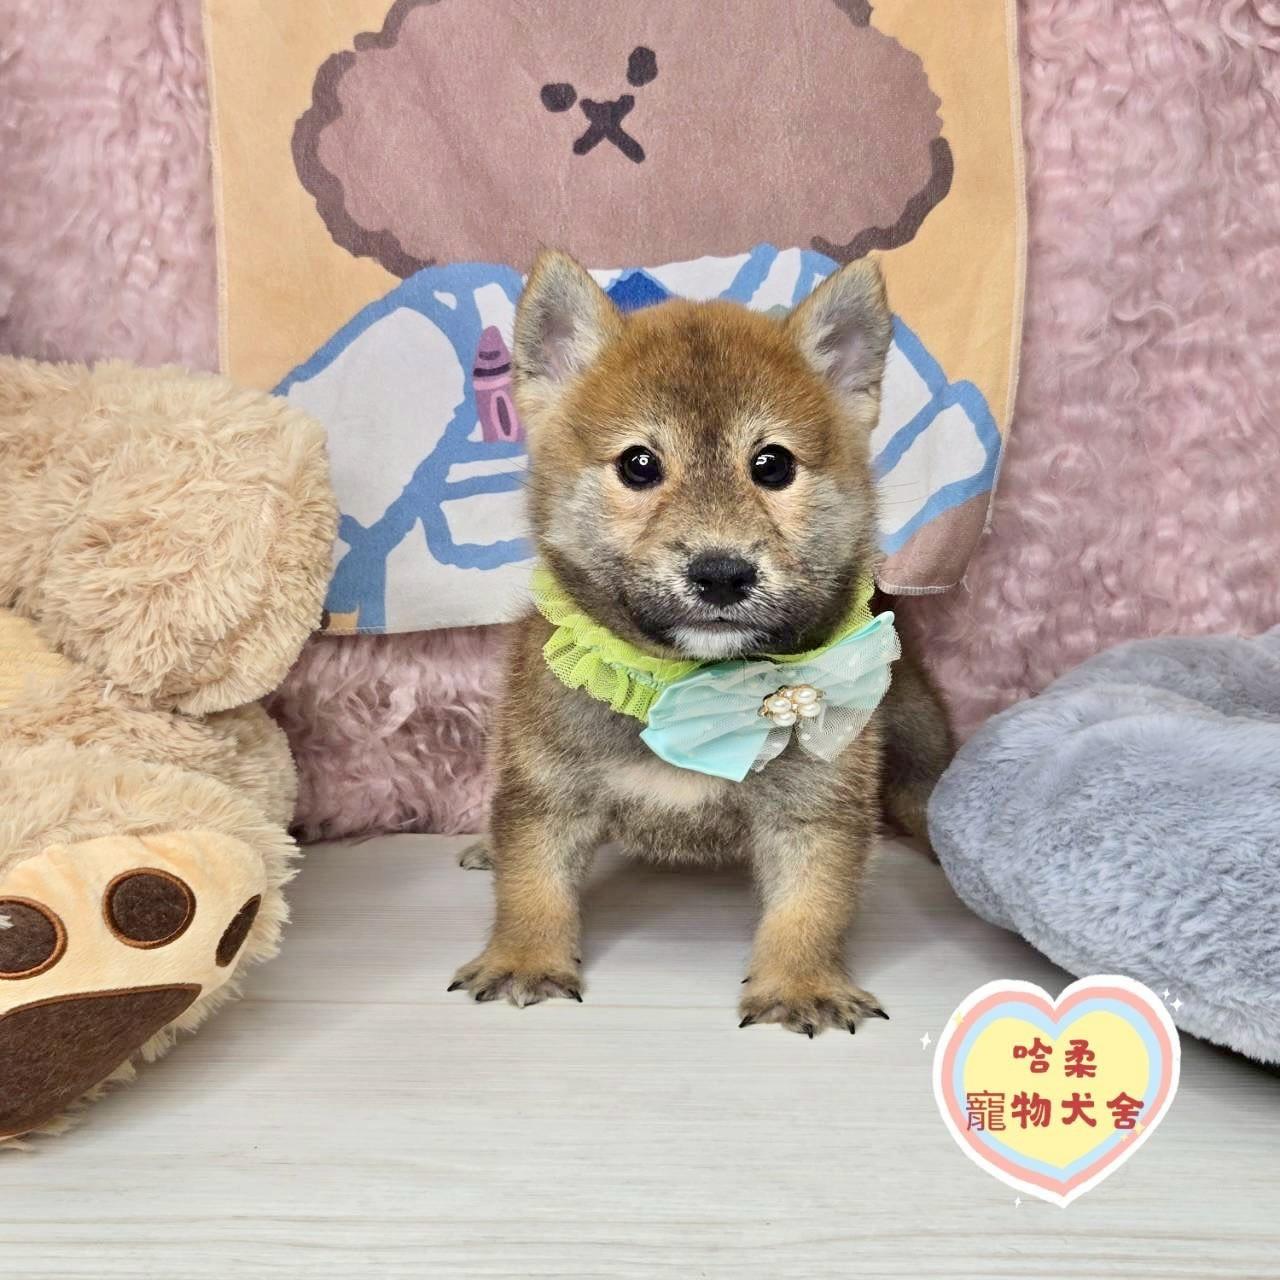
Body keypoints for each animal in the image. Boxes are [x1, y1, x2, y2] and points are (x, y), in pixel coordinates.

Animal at [450, 251, 954, 1035]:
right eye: (638, 464)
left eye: (773, 465)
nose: (721, 573)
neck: (688, 685)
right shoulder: (549, 790)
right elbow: (532, 886)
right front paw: (524, 958)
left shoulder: (815, 810)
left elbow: (810, 908)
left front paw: (800, 983)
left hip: (915, 749)